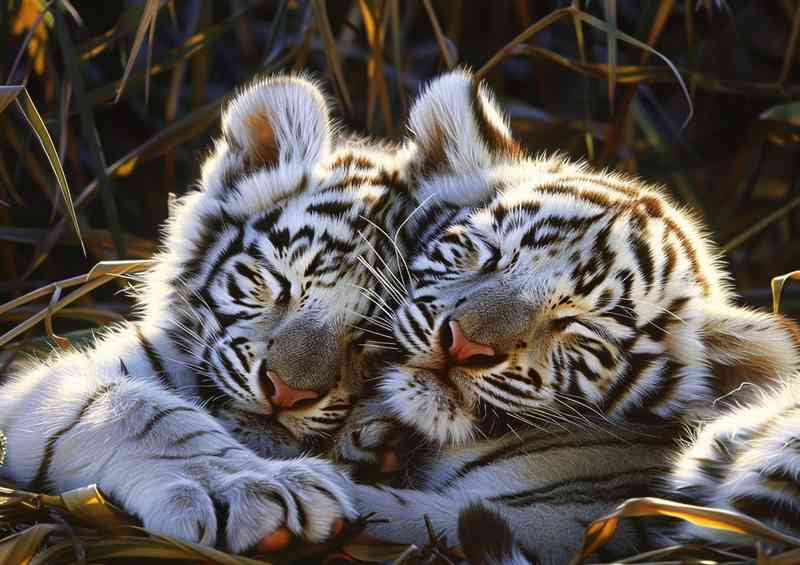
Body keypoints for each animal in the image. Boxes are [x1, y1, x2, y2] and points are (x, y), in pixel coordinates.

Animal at [0, 74, 418, 553]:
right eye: (279, 284)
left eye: (375, 333)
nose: (286, 393)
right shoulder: (36, 390)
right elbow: (139, 409)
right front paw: (244, 487)